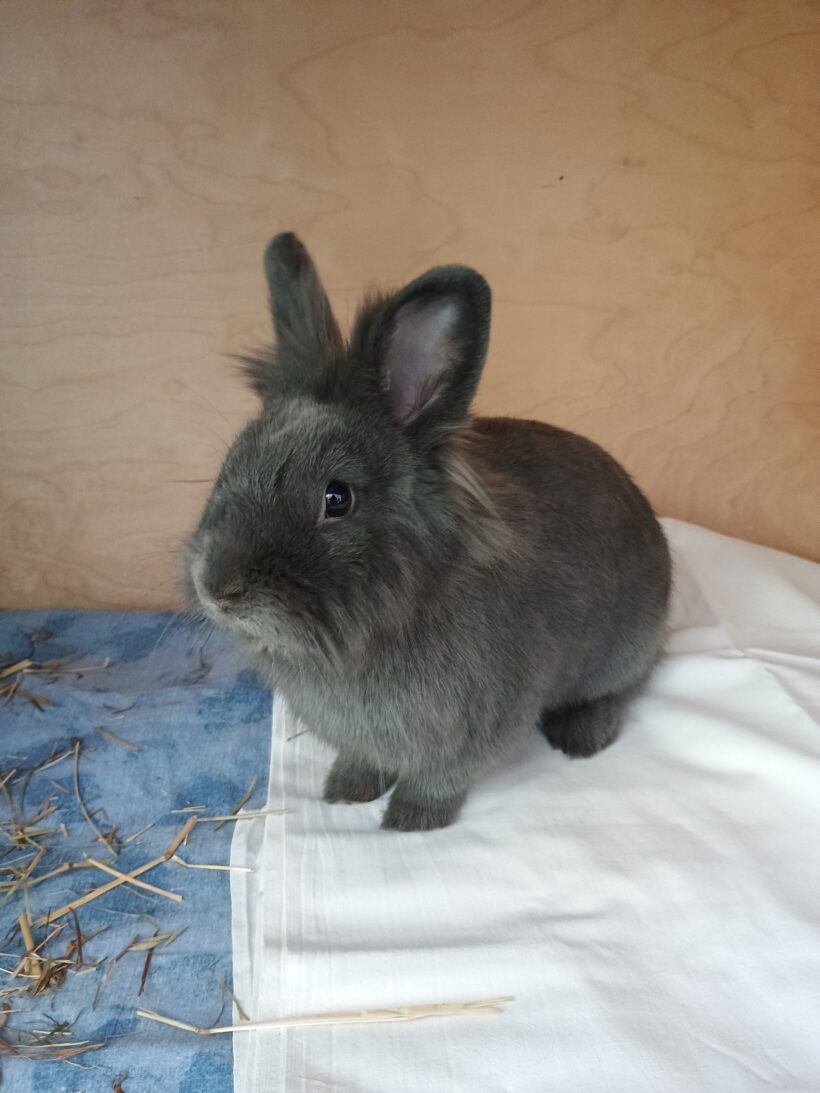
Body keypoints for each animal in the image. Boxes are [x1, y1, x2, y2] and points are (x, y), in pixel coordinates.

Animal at [185, 233, 671, 832]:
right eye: (233, 460)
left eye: (337, 498)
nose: (216, 588)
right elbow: (365, 761)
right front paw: (346, 791)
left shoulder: (478, 731)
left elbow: (439, 778)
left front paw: (410, 821)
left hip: (623, 650)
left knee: (620, 689)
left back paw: (582, 737)